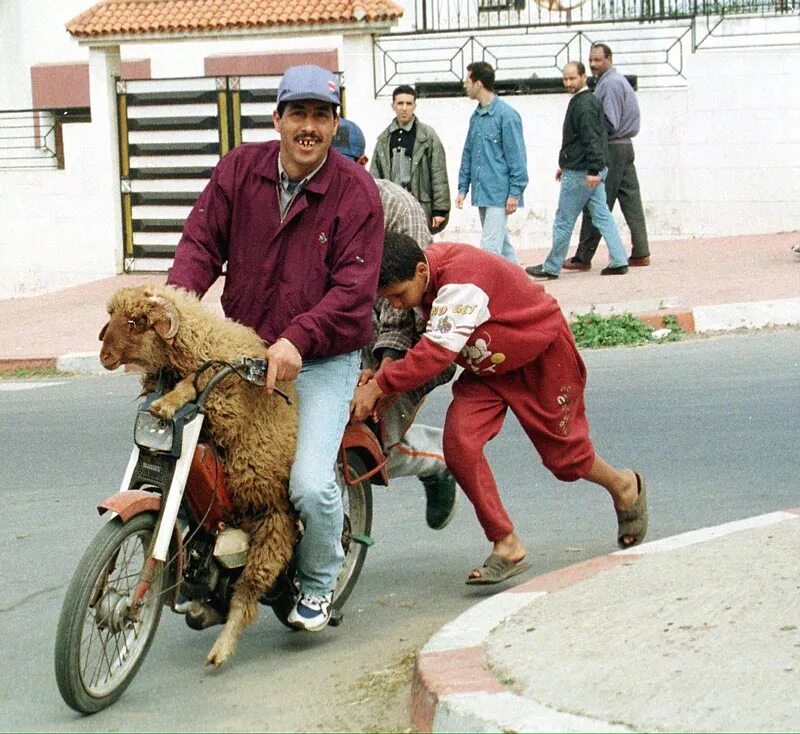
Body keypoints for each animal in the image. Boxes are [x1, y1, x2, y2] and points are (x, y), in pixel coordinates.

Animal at [99, 284, 298, 672]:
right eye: (112, 316)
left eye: (135, 322)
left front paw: (167, 404)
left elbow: (194, 384)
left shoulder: (219, 394)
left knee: (248, 592)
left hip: (273, 524)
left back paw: (223, 649)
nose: (103, 356)